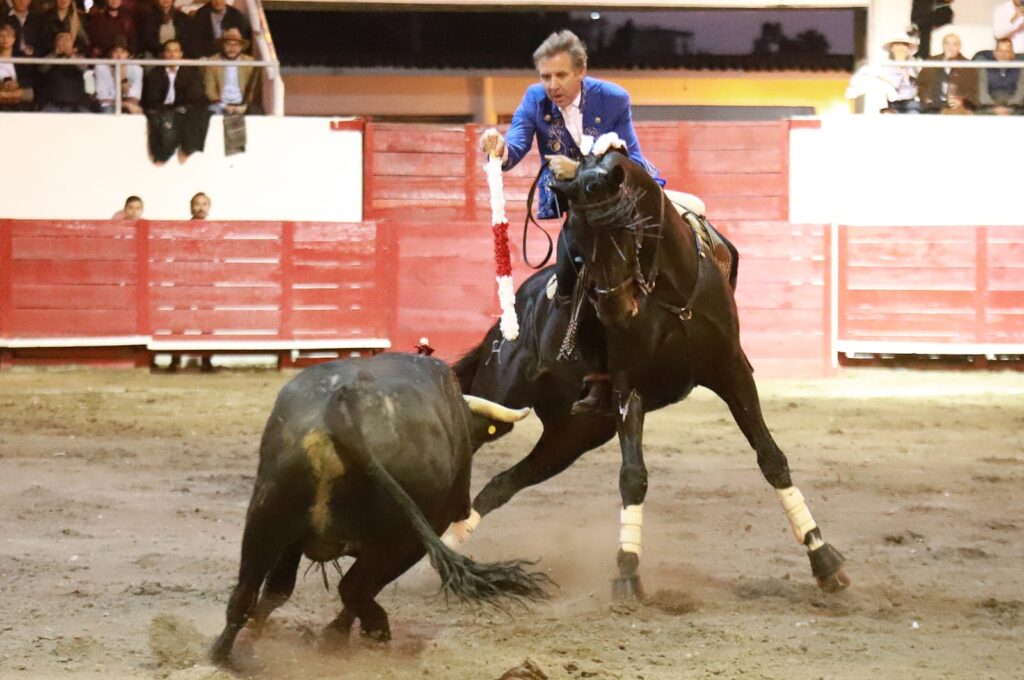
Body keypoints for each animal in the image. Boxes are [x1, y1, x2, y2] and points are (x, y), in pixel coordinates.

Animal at [208, 352, 557, 667]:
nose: (463, 506)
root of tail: (344, 410)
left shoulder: (292, 540)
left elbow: (278, 589)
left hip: (267, 515)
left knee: (247, 590)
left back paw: (224, 655)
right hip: (400, 541)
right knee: (354, 588)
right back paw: (367, 634)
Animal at [454, 150, 847, 602]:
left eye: (630, 227)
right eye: (577, 238)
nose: (614, 310)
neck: (672, 293)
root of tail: (508, 320)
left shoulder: (731, 370)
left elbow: (771, 458)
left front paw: (823, 557)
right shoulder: (630, 385)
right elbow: (633, 477)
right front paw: (627, 571)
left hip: (573, 436)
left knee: (504, 482)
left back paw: (449, 544)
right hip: (500, 399)